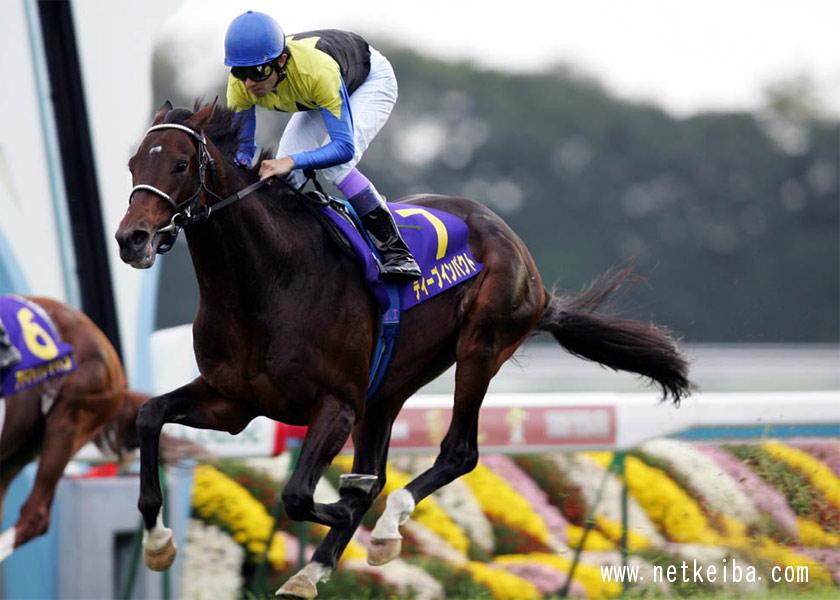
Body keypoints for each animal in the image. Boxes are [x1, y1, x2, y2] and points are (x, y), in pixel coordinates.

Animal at [113, 101, 688, 596]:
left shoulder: (336, 405)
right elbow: (149, 415)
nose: (131, 238)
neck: (269, 281)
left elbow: (300, 495)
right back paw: (313, 570)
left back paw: (387, 526)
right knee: (380, 467)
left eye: (181, 163)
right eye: (133, 162)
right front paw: (159, 542)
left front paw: (349, 516)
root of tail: (528, 266)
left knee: (457, 452)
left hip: (480, 346)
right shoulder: (233, 402)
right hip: (391, 385)